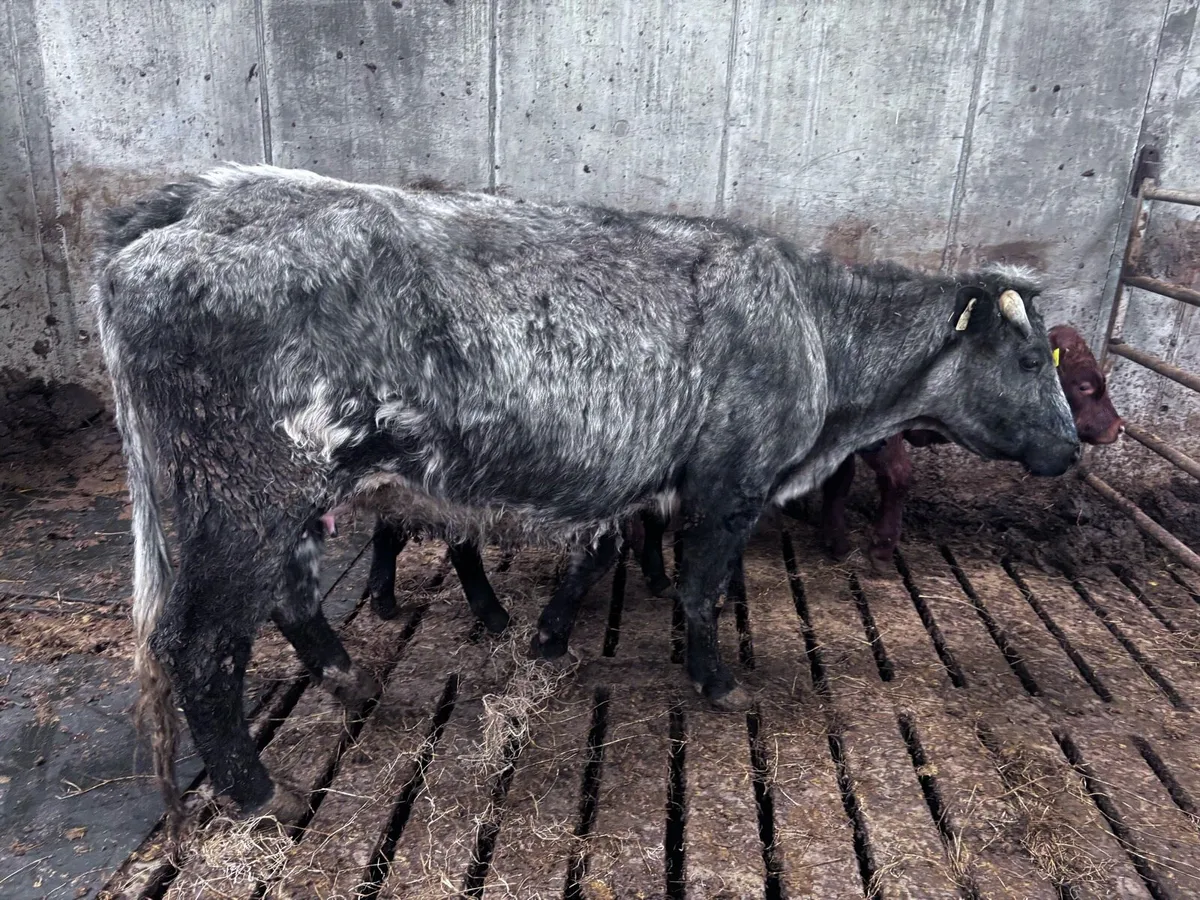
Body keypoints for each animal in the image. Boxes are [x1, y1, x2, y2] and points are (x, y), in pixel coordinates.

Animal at [94, 164, 1078, 820]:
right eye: (1034, 361)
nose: (1072, 447)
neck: (812, 326)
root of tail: (199, 196)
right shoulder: (729, 481)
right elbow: (699, 589)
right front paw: (716, 683)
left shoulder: (646, 484)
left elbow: (598, 557)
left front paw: (549, 637)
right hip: (245, 494)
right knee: (200, 644)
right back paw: (260, 793)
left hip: (290, 498)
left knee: (290, 598)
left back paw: (348, 677)